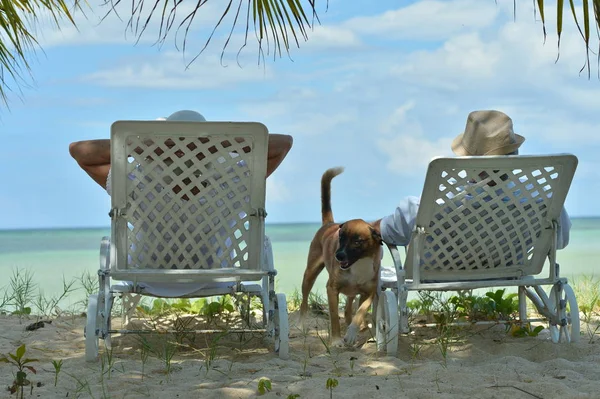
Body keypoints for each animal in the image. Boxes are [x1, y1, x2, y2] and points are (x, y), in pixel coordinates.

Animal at [302, 166, 382, 346]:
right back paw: (301, 323)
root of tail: (329, 224)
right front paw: (336, 339)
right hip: (310, 273)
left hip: (352, 292)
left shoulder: (369, 292)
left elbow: (360, 312)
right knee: (304, 300)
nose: (338, 256)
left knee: (349, 309)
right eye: (341, 238)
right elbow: (333, 317)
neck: (358, 263)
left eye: (357, 241)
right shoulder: (332, 289)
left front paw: (352, 332)